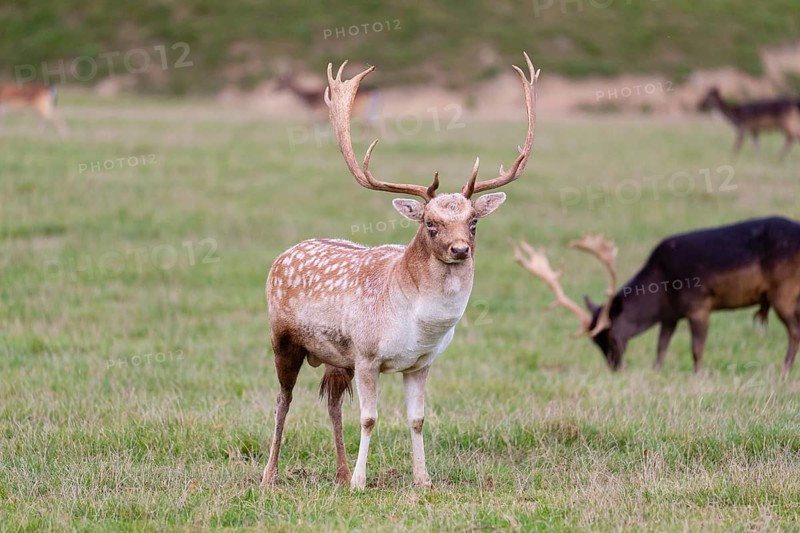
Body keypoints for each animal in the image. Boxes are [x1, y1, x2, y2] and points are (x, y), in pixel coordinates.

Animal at [262, 54, 538, 490]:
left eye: (474, 220)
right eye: (430, 223)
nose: (459, 249)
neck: (416, 324)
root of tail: (284, 254)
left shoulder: (421, 362)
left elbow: (417, 419)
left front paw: (422, 479)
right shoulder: (367, 354)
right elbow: (369, 417)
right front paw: (361, 483)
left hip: (336, 358)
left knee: (332, 402)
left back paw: (340, 472)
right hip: (283, 339)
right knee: (283, 399)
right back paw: (271, 475)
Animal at [514, 217, 800, 374]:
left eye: (612, 335)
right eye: (595, 343)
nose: (615, 368)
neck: (661, 290)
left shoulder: (698, 306)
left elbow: (696, 349)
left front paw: (699, 375)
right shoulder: (670, 316)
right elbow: (661, 347)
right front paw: (657, 372)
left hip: (783, 291)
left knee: (794, 330)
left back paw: (784, 371)